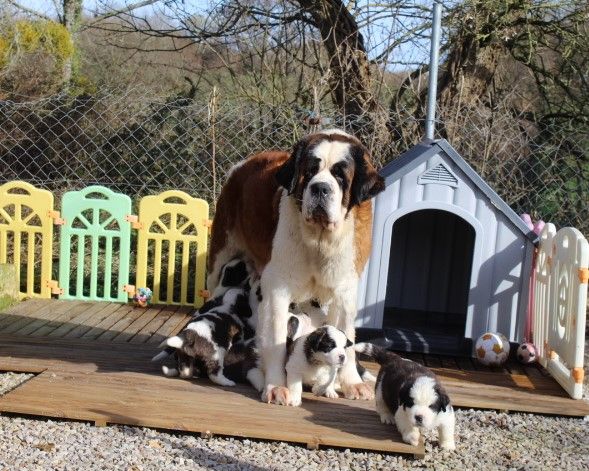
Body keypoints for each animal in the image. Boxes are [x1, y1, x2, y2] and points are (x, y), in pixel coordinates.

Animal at [208, 129, 386, 406]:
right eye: (310, 171)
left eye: (340, 175)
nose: (320, 188)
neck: (320, 239)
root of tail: (243, 164)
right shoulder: (277, 289)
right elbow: (277, 340)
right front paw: (277, 386)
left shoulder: (345, 290)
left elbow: (345, 335)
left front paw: (351, 383)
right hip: (220, 257)